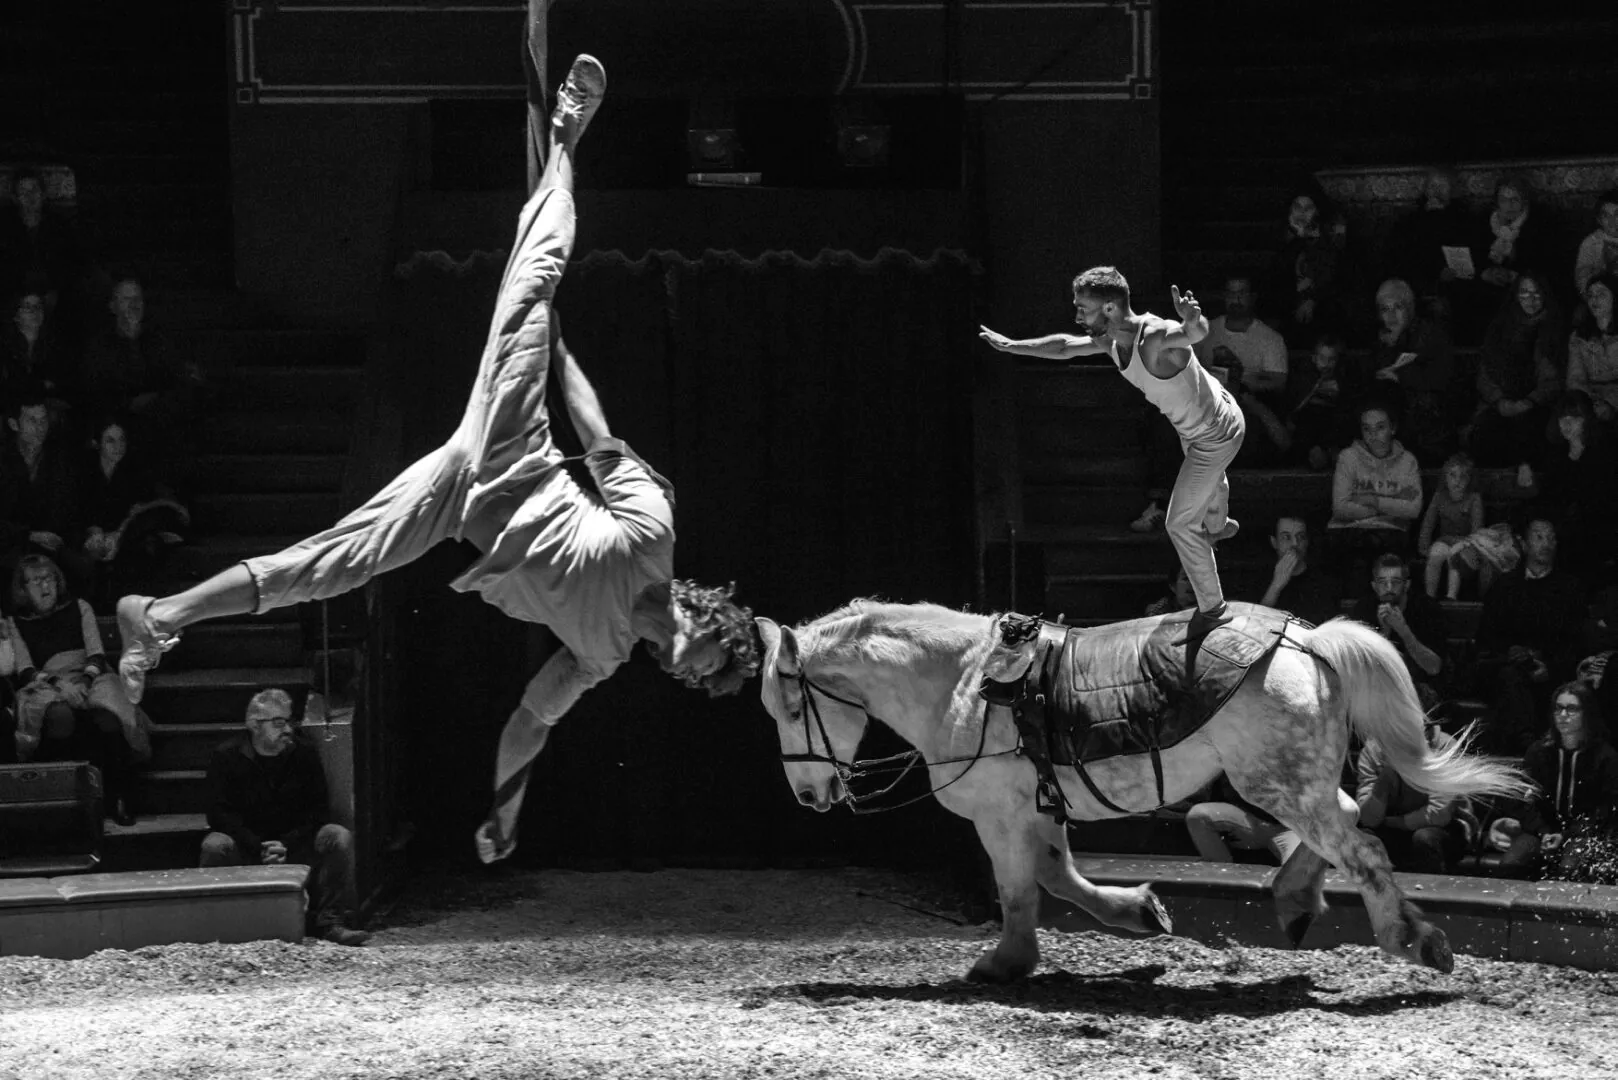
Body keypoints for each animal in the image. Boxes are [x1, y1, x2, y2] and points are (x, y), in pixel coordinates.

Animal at [750, 605, 1533, 984]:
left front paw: (1004, 961)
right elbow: (1057, 878)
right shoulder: (1037, 808)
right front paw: (1139, 912)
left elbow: (1020, 890)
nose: (809, 792)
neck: (965, 684)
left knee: (1361, 846)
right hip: (1292, 780)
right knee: (1339, 825)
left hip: (1275, 780)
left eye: (788, 708)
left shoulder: (1001, 817)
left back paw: (1413, 939)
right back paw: (1293, 899)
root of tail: (1307, 642)